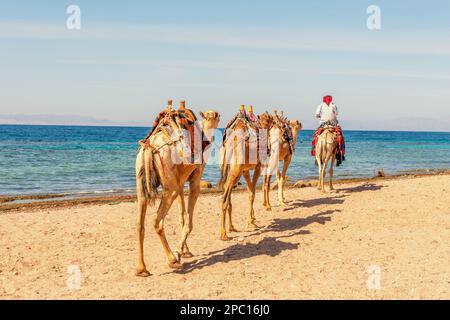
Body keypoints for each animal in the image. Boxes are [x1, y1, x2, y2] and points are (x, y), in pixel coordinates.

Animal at [135, 107, 220, 276]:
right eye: (213, 115)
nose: (217, 115)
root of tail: (150, 147)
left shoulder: (180, 182)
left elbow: (182, 217)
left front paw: (185, 251)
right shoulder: (195, 179)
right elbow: (188, 221)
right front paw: (179, 252)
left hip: (142, 185)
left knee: (140, 224)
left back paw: (142, 269)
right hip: (169, 186)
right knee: (157, 221)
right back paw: (172, 259)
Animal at [216, 112, 272, 240]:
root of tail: (229, 143)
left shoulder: (245, 171)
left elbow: (249, 191)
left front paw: (252, 219)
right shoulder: (258, 166)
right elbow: (252, 193)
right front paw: (250, 221)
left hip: (231, 169)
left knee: (226, 189)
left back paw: (231, 227)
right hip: (236, 170)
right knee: (224, 197)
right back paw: (223, 234)